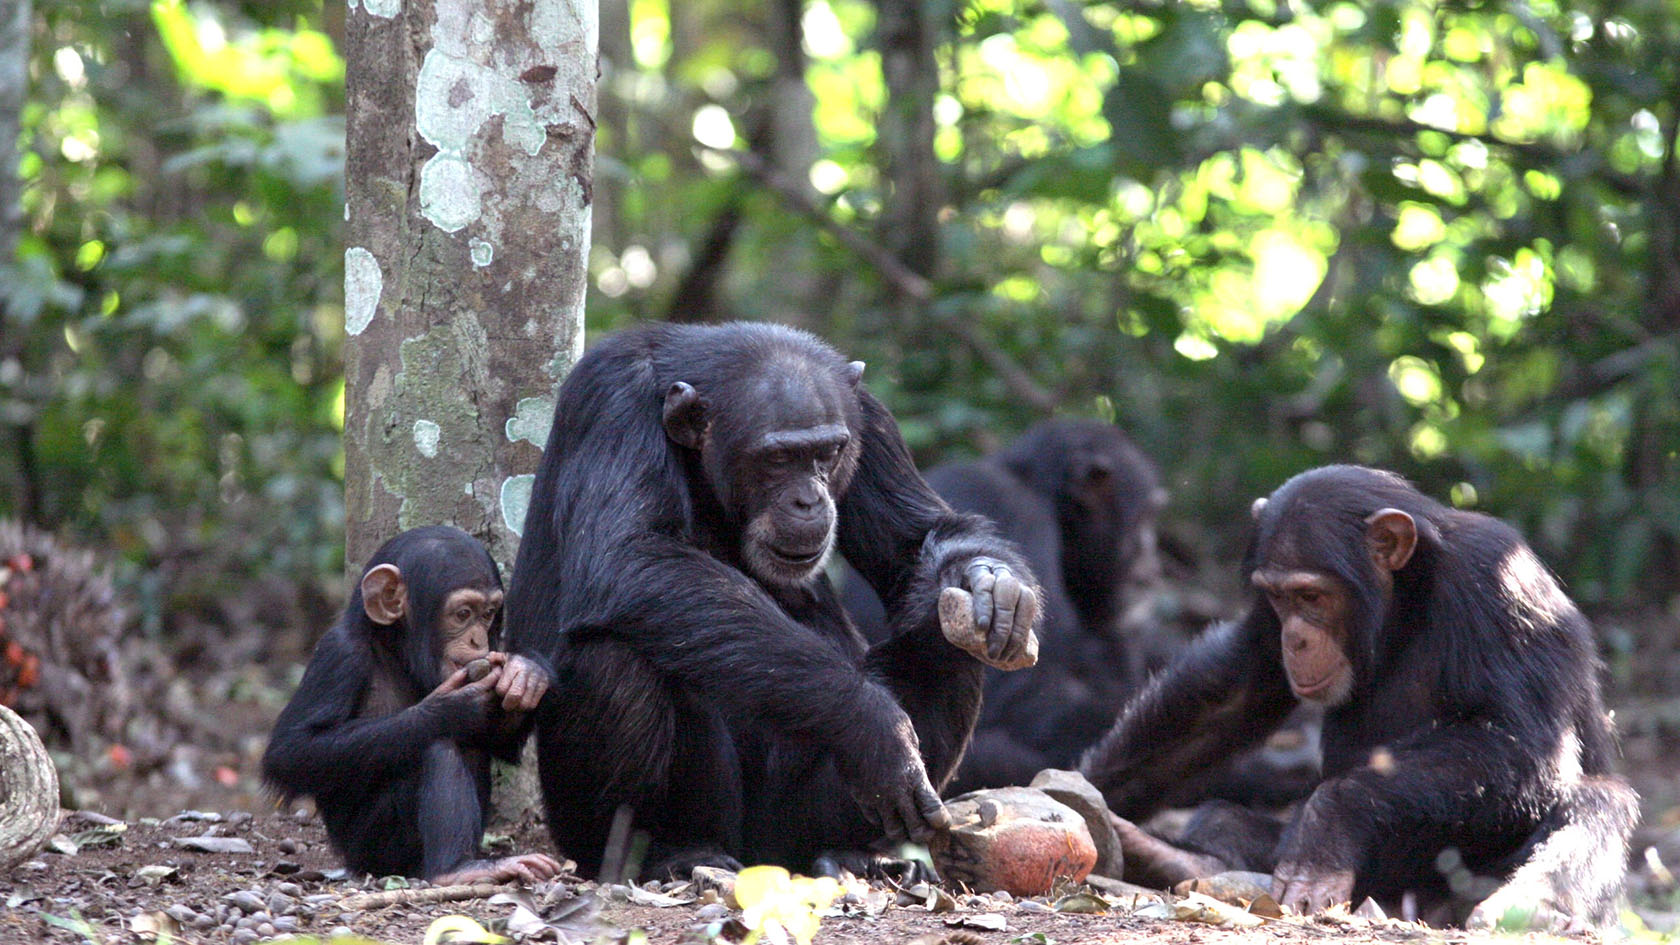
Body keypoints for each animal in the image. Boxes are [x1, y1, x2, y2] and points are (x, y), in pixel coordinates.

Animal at [262, 524, 561, 881]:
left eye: (488, 614)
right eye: (463, 614)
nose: (478, 638)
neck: (395, 652)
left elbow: (497, 740)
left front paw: (526, 672)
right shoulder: (339, 655)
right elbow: (293, 750)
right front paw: (450, 708)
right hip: (373, 846)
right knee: (439, 746)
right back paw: (457, 869)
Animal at [503, 321, 1041, 874]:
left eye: (828, 452)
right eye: (778, 458)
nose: (809, 499)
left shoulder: (869, 419)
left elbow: (918, 541)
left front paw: (991, 583)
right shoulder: (611, 402)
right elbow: (628, 556)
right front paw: (874, 725)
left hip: (800, 819)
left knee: (946, 642)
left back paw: (852, 853)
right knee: (613, 659)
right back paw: (668, 853)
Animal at [1075, 467, 1639, 921]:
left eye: (1312, 596)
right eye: (1278, 598)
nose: (1295, 639)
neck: (1405, 602)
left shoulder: (1501, 585)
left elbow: (1518, 744)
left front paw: (1328, 823)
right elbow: (1236, 693)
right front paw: (1079, 789)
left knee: (1597, 800)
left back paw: (1528, 907)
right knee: (1221, 817)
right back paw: (1175, 857)